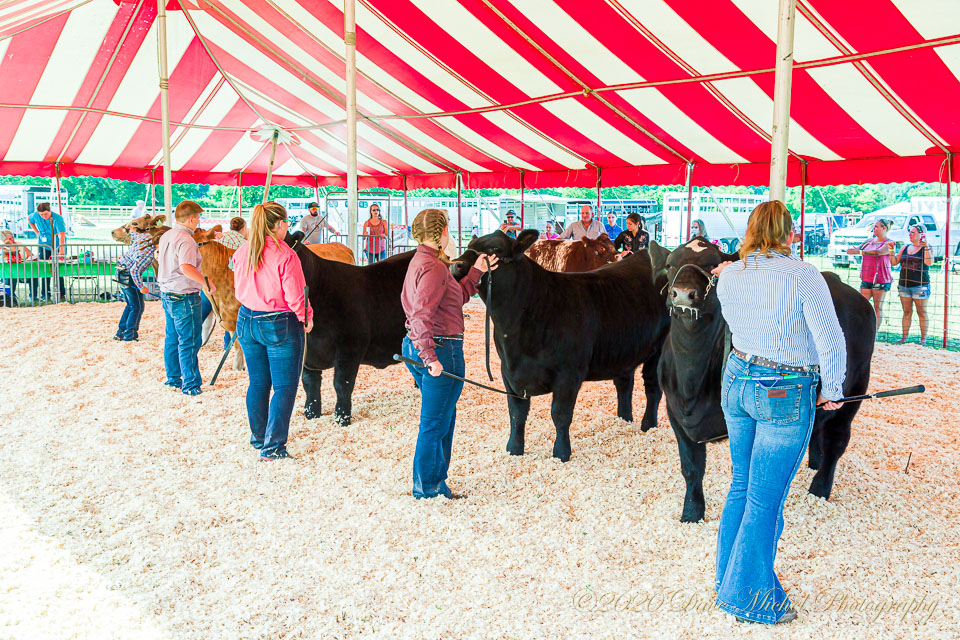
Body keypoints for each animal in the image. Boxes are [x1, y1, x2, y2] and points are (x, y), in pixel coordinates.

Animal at [453, 230, 670, 462]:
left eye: (495, 249)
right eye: (471, 244)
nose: (456, 265)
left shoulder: (569, 373)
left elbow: (560, 414)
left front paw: (561, 453)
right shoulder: (508, 372)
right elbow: (516, 413)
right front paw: (514, 449)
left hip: (659, 349)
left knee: (652, 388)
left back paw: (648, 425)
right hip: (623, 350)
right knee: (624, 384)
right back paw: (624, 420)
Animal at [649, 238, 875, 523]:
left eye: (713, 264)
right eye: (670, 265)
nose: (683, 294)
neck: (691, 376)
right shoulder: (675, 413)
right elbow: (691, 467)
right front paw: (691, 513)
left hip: (855, 388)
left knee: (837, 438)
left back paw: (820, 488)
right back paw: (814, 463)